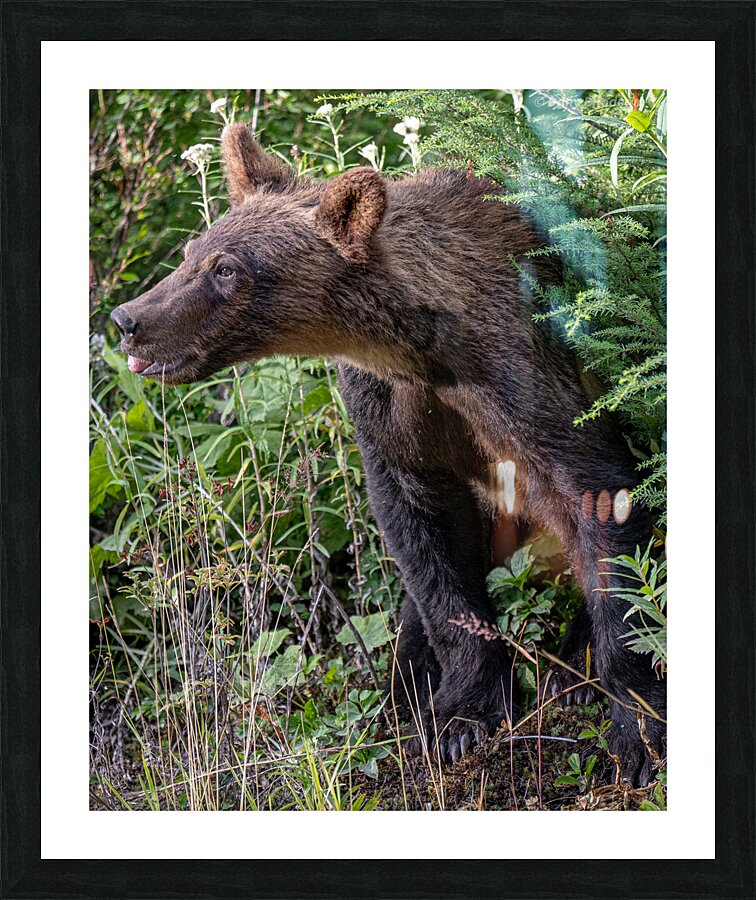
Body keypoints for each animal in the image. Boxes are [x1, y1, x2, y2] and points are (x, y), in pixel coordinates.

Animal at [110, 123, 666, 785]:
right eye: (193, 250)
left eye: (226, 268)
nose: (127, 318)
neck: (423, 350)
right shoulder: (389, 410)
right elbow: (425, 544)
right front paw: (459, 714)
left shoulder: (524, 375)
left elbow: (602, 501)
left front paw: (636, 729)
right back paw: (403, 684)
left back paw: (568, 665)